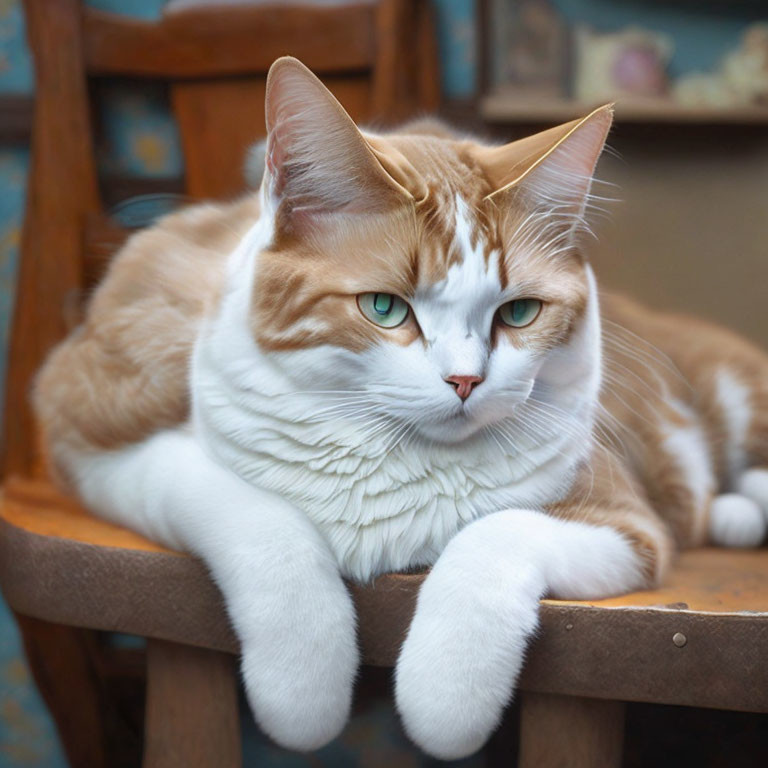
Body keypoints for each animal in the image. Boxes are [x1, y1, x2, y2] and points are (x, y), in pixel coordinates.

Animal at [31, 57, 768, 760]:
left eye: (518, 313)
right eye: (385, 308)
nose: (466, 380)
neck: (391, 453)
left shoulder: (627, 524)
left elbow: (492, 536)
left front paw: (443, 699)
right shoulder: (98, 440)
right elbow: (259, 520)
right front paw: (302, 688)